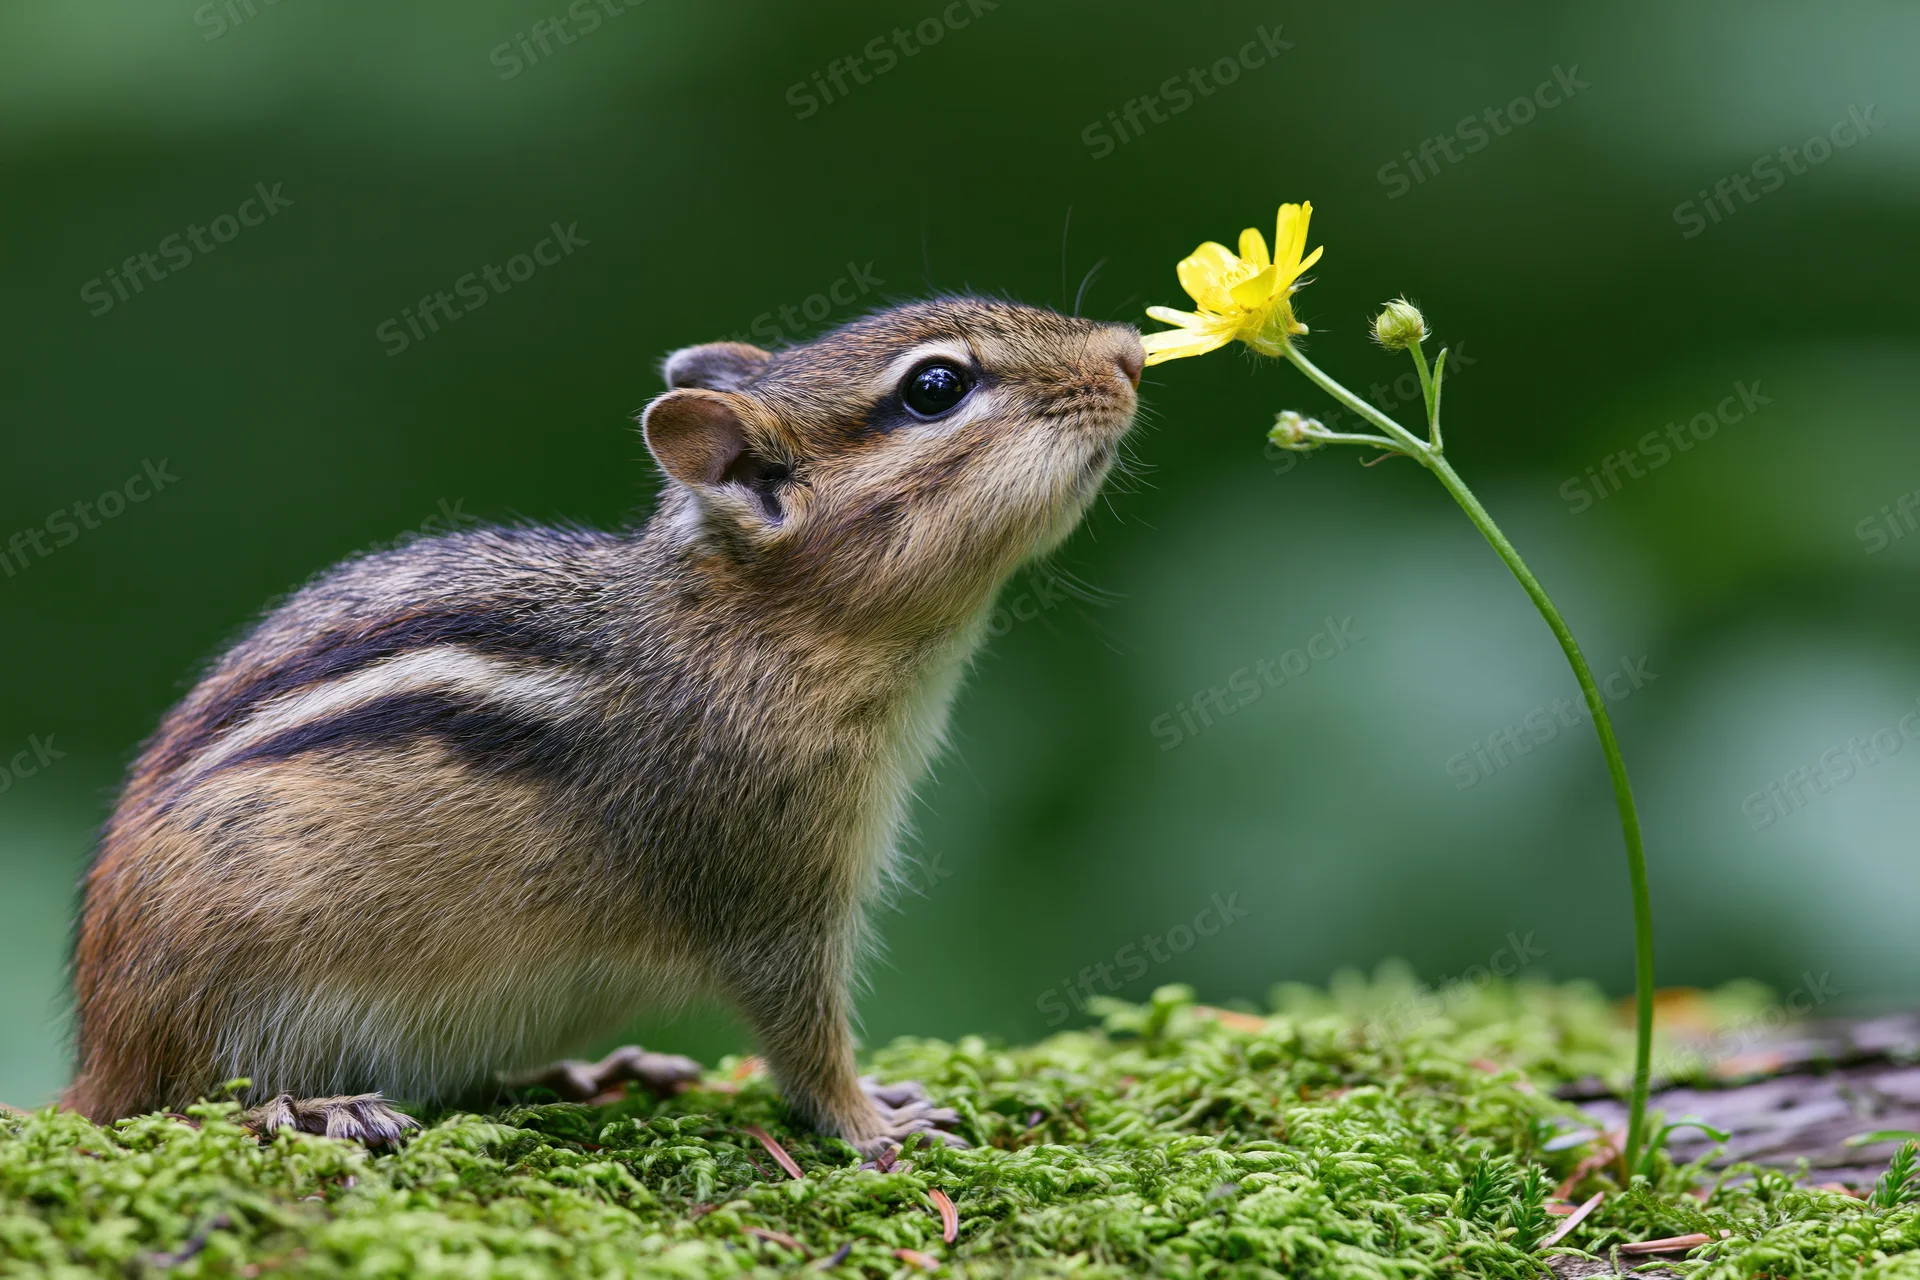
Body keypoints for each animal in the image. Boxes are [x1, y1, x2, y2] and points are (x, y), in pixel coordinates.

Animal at [67, 297, 1145, 1155]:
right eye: (935, 387)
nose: (1130, 349)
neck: (755, 628)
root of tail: (102, 1039)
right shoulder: (769, 884)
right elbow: (802, 1034)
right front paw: (872, 1119)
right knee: (178, 1100)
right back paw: (314, 1107)